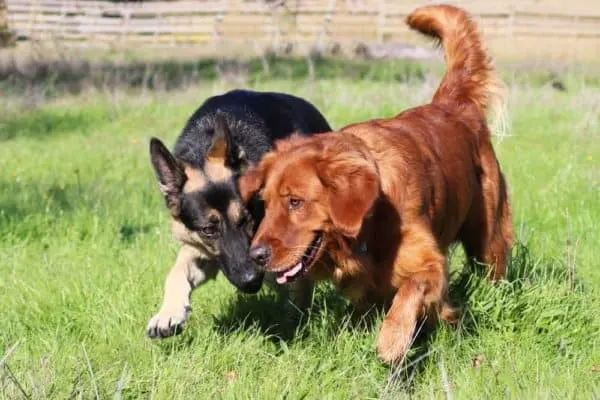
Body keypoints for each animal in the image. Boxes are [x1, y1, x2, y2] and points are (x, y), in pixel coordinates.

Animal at [146, 88, 332, 338]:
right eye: (208, 230)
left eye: (247, 219)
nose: (250, 281)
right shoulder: (200, 249)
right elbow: (176, 272)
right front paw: (168, 314)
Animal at [238, 3, 510, 366]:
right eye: (265, 205)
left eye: (295, 201)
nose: (256, 255)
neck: (370, 221)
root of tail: (452, 103)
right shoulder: (363, 287)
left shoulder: (429, 263)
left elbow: (410, 293)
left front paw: (393, 339)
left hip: (487, 236)